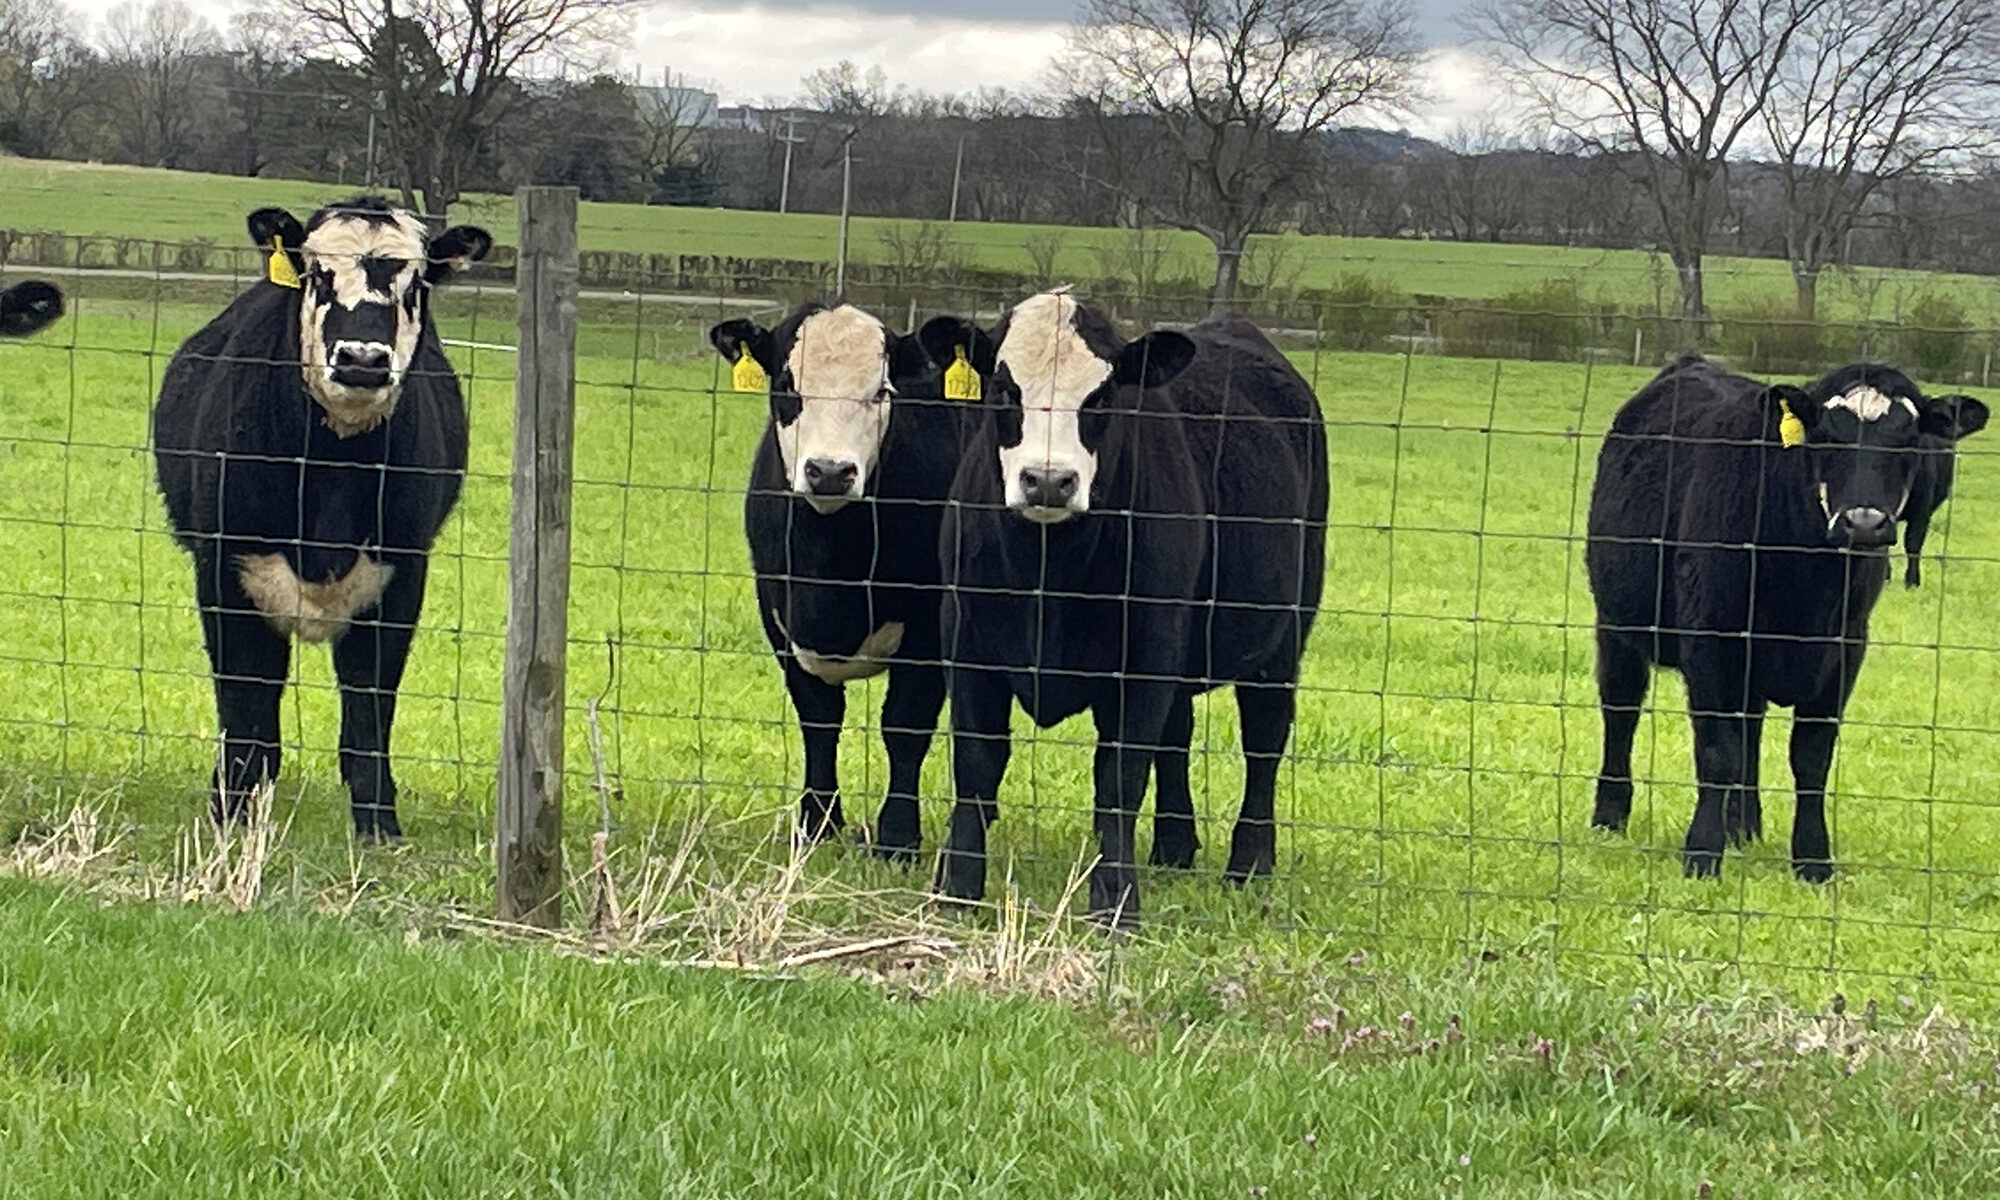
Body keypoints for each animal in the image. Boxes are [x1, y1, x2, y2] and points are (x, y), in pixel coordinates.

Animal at [150, 197, 490, 840]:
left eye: (416, 284)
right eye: (316, 273)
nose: (361, 359)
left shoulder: (401, 574)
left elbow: (370, 704)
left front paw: (379, 824)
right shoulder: (224, 568)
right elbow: (245, 700)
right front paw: (231, 813)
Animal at [712, 304, 968, 856]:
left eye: (883, 390)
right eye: (787, 383)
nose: (830, 471)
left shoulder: (929, 626)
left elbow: (905, 724)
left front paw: (898, 839)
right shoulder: (777, 610)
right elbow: (818, 717)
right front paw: (816, 823)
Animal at [920, 290, 1328, 928]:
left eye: (1103, 396)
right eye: (1005, 389)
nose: (1048, 481)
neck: (1049, 574)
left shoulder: (1143, 657)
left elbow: (1118, 776)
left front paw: (1115, 903)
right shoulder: (967, 643)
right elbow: (977, 761)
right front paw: (957, 890)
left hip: (1280, 638)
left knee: (1264, 738)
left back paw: (1249, 864)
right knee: (1178, 735)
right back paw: (1174, 848)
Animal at [1584, 356, 1992, 880]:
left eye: (1908, 438)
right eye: (1826, 436)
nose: (1863, 522)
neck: (1807, 585)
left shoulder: (1844, 652)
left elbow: (1811, 757)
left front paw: (1814, 861)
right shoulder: (1711, 641)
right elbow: (1717, 751)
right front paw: (1702, 855)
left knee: (1750, 728)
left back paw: (1744, 826)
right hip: (1617, 624)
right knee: (1621, 710)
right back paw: (1610, 816)